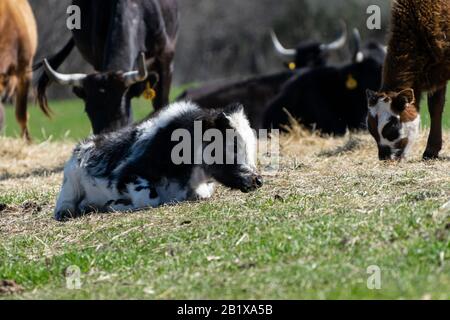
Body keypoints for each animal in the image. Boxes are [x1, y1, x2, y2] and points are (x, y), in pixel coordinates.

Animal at [54, 102, 262, 220]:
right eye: (232, 147)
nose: (258, 180)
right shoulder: (127, 174)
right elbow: (149, 199)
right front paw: (116, 204)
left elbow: (202, 193)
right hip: (70, 182)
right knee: (64, 205)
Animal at [368, 0, 448, 160]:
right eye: (371, 130)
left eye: (391, 128)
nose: (384, 157)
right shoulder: (439, 68)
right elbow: (435, 106)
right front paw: (431, 150)